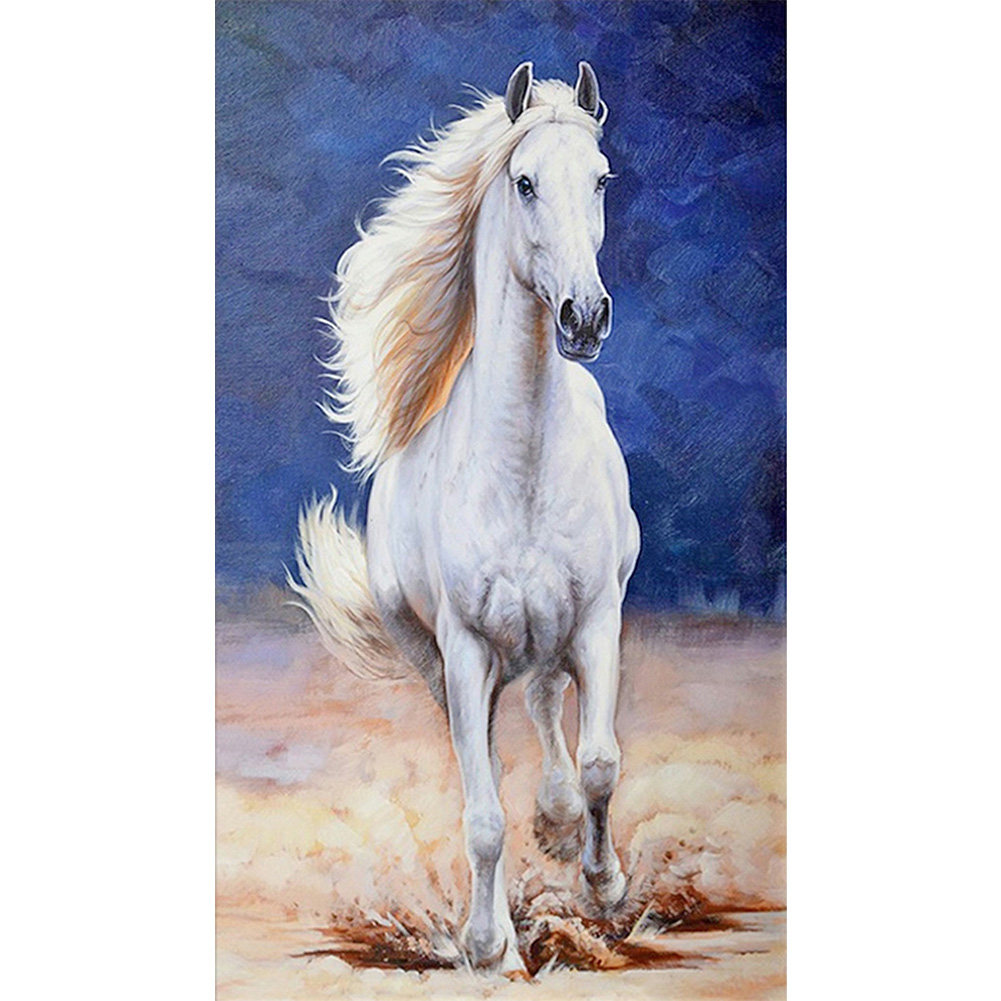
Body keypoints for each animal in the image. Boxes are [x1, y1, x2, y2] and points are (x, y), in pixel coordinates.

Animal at [290, 61, 640, 976]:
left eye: (601, 180)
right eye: (523, 182)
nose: (584, 318)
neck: (521, 470)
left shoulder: (598, 618)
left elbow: (600, 763)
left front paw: (602, 885)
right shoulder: (466, 647)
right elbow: (482, 815)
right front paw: (488, 946)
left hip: (554, 633)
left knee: (548, 706)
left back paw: (558, 828)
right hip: (434, 658)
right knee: (486, 746)